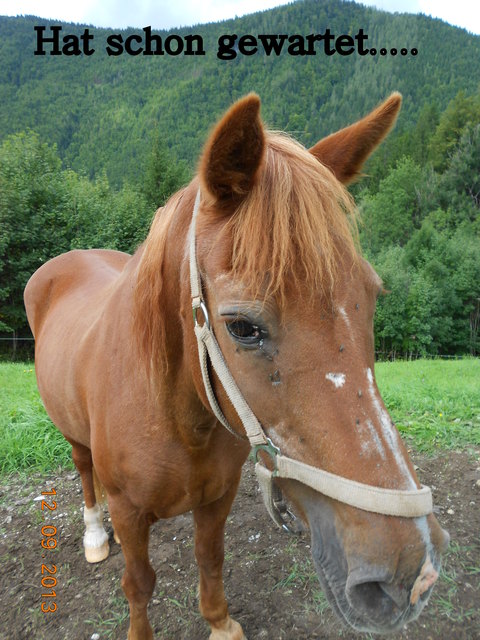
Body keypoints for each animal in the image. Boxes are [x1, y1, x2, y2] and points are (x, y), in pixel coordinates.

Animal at [24, 93, 449, 640]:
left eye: (371, 298)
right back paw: (95, 535)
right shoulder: (130, 511)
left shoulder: (217, 498)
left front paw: (220, 623)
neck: (177, 418)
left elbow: (210, 557)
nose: (409, 575)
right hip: (72, 436)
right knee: (83, 469)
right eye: (243, 327)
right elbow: (139, 583)